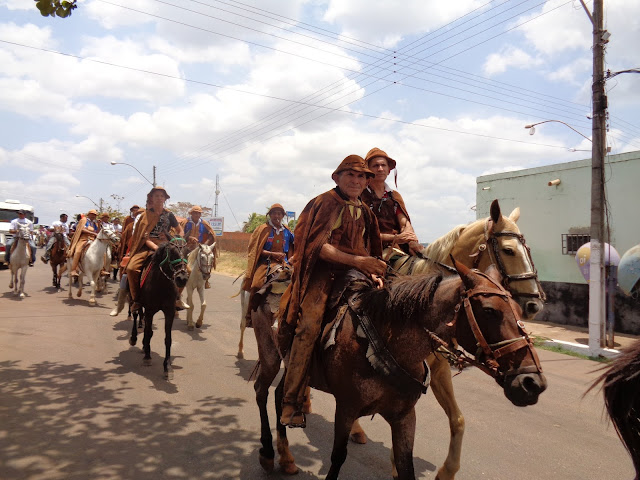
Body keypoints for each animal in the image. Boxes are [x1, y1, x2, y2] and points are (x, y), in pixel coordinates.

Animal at [129, 238, 189, 380]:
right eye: (171, 253)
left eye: (188, 252)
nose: (182, 278)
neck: (161, 284)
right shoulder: (150, 310)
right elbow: (148, 332)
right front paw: (147, 357)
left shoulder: (169, 312)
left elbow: (168, 339)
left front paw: (167, 367)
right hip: (132, 296)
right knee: (135, 314)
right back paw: (134, 338)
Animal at [252, 260, 548, 478]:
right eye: (488, 311)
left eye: (517, 309)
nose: (532, 383)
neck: (385, 342)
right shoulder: (346, 408)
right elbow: (337, 458)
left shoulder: (405, 416)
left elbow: (406, 467)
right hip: (270, 356)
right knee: (261, 391)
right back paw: (267, 453)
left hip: (294, 367)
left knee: (280, 395)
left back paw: (286, 458)